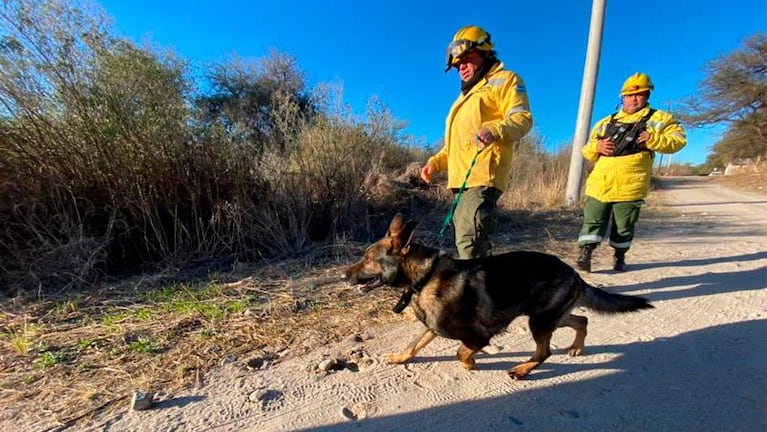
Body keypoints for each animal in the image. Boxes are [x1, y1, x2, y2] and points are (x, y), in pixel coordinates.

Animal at [348, 213, 656, 378]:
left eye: (368, 259)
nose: (344, 276)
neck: (425, 276)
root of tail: (573, 273)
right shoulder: (431, 329)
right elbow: (413, 345)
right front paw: (400, 358)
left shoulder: (478, 337)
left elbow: (461, 352)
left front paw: (471, 364)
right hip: (549, 316)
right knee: (582, 320)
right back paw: (576, 347)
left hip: (539, 321)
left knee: (544, 351)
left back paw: (523, 370)